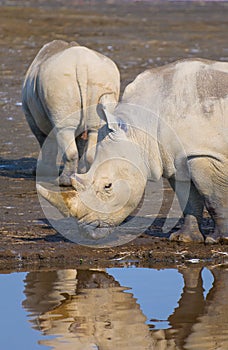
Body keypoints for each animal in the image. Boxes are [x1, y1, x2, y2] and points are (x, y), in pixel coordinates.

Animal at [22, 39, 120, 186]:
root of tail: (82, 65)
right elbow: (80, 141)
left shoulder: (32, 117)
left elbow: (45, 142)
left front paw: (42, 172)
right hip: (101, 78)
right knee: (95, 129)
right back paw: (86, 177)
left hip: (58, 82)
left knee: (64, 129)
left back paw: (63, 182)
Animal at [37, 58, 228, 243]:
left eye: (108, 186)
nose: (86, 232)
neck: (140, 128)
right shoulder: (176, 159)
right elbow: (188, 198)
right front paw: (184, 239)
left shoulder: (204, 153)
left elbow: (214, 197)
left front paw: (218, 239)